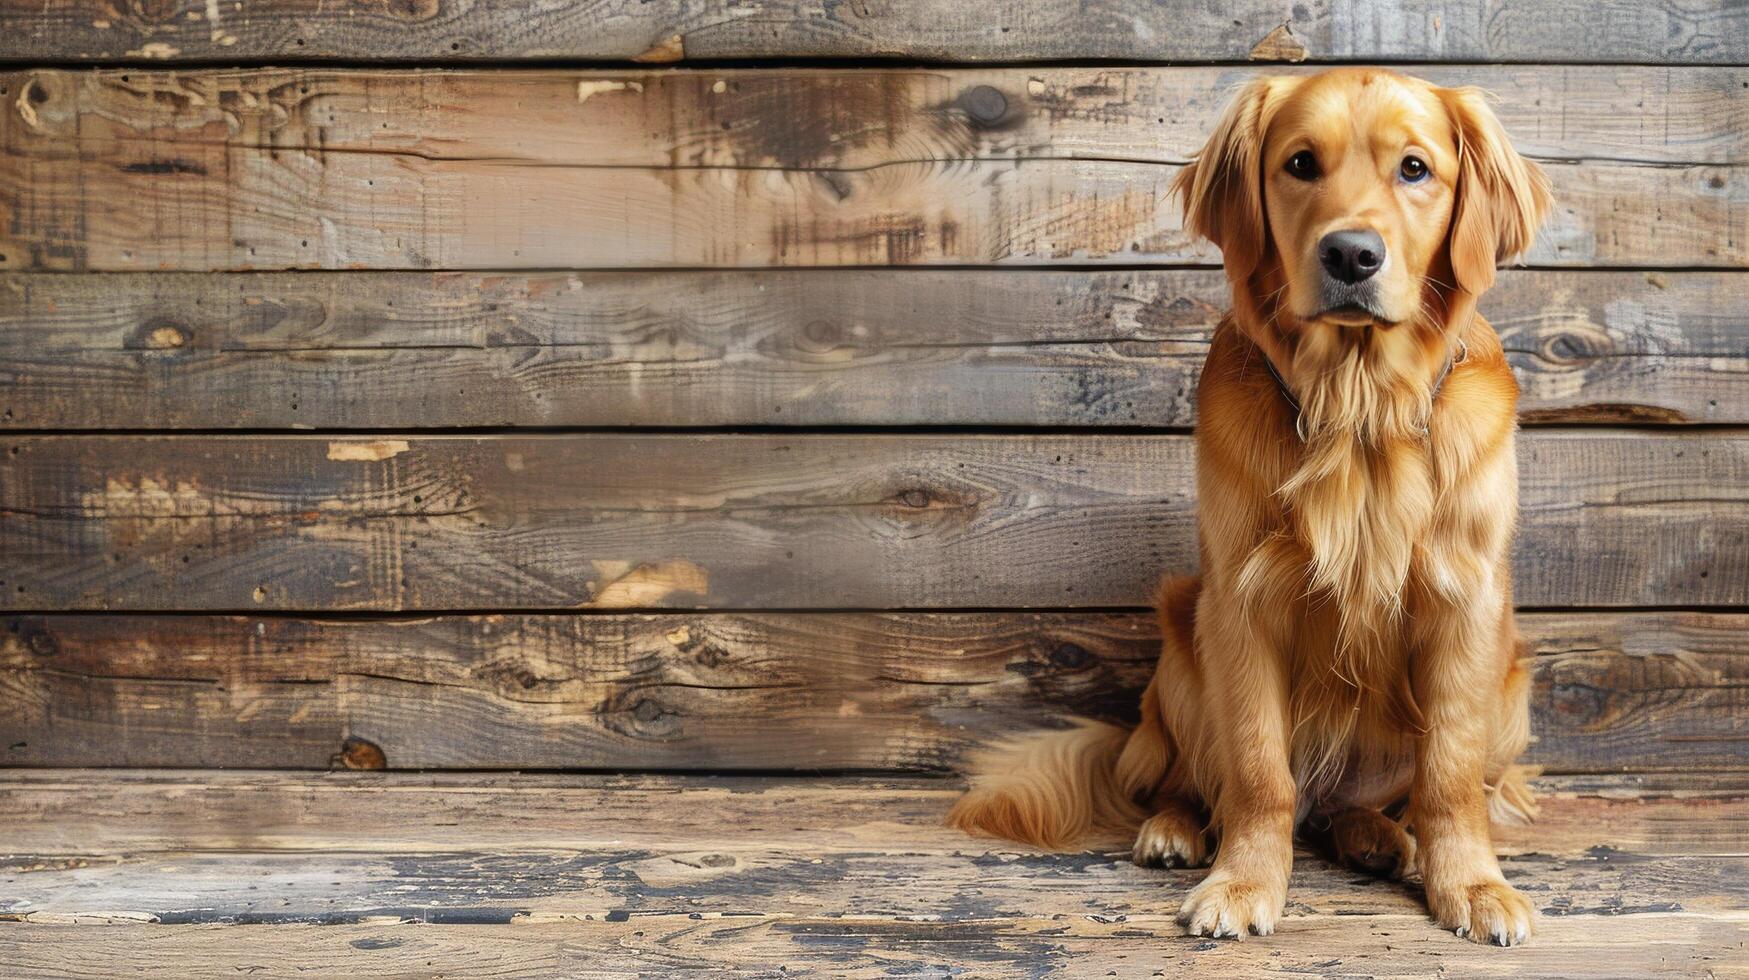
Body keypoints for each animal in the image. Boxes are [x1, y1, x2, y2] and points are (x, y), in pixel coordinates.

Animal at [951, 66, 1553, 945]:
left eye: (1414, 169)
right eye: (1300, 164)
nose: (1350, 253)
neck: (1355, 407)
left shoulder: (1465, 601)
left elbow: (1447, 776)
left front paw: (1471, 886)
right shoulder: (1240, 602)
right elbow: (1259, 773)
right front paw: (1241, 884)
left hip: (1507, 688)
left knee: (1367, 801)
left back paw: (1378, 836)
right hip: (1181, 650)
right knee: (1197, 780)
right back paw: (1174, 829)